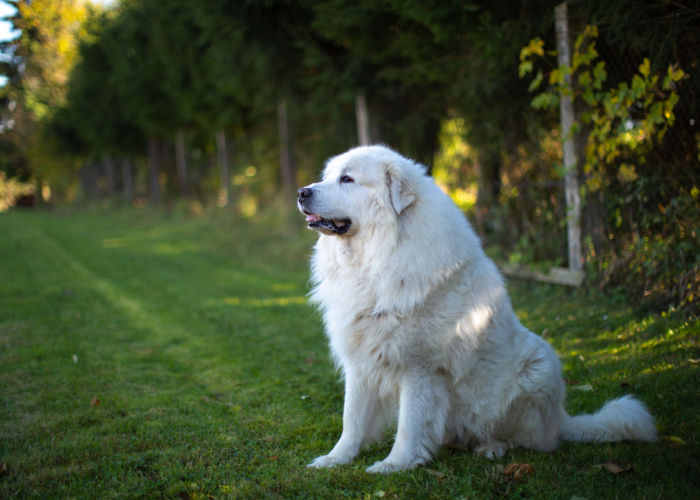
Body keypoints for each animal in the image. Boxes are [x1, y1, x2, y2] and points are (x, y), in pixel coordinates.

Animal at [296, 145, 656, 472]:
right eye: (327, 176)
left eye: (347, 179)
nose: (302, 192)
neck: (380, 256)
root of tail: (560, 419)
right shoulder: (360, 359)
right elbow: (352, 419)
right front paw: (336, 459)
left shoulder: (419, 368)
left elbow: (409, 425)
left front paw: (395, 464)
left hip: (538, 364)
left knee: (533, 441)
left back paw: (493, 448)